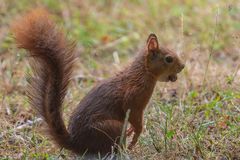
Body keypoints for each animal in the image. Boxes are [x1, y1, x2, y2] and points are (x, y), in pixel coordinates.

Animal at [12, 8, 184, 155]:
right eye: (168, 59)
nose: (182, 66)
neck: (142, 73)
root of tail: (77, 144)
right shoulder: (134, 98)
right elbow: (135, 118)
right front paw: (135, 137)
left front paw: (131, 132)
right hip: (112, 128)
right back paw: (124, 151)